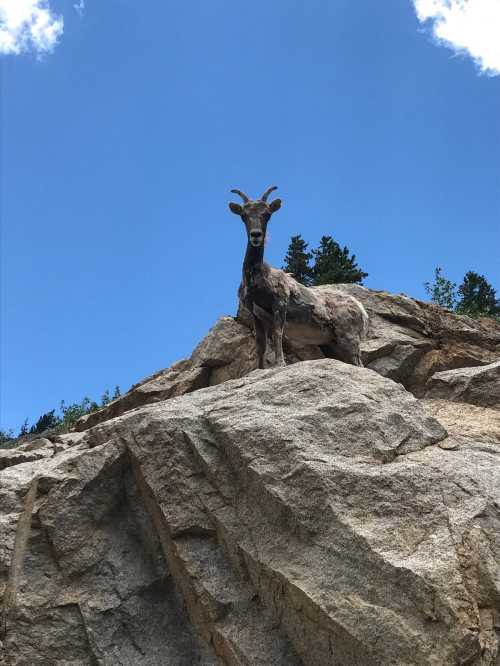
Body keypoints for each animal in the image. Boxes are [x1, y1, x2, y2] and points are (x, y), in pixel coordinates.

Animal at [229, 185, 368, 368]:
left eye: (267, 214)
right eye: (243, 216)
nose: (256, 235)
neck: (258, 281)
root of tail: (361, 310)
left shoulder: (279, 304)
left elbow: (278, 333)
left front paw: (280, 364)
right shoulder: (255, 313)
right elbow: (260, 343)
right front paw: (260, 368)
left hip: (349, 337)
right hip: (332, 343)